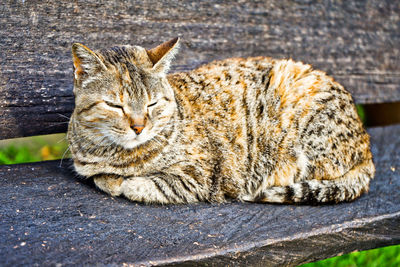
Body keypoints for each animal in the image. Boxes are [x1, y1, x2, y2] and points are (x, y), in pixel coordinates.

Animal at [66, 37, 376, 205]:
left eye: (152, 104)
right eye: (115, 105)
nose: (139, 127)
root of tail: (367, 149)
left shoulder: (199, 175)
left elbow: (137, 184)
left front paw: (123, 181)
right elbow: (99, 176)